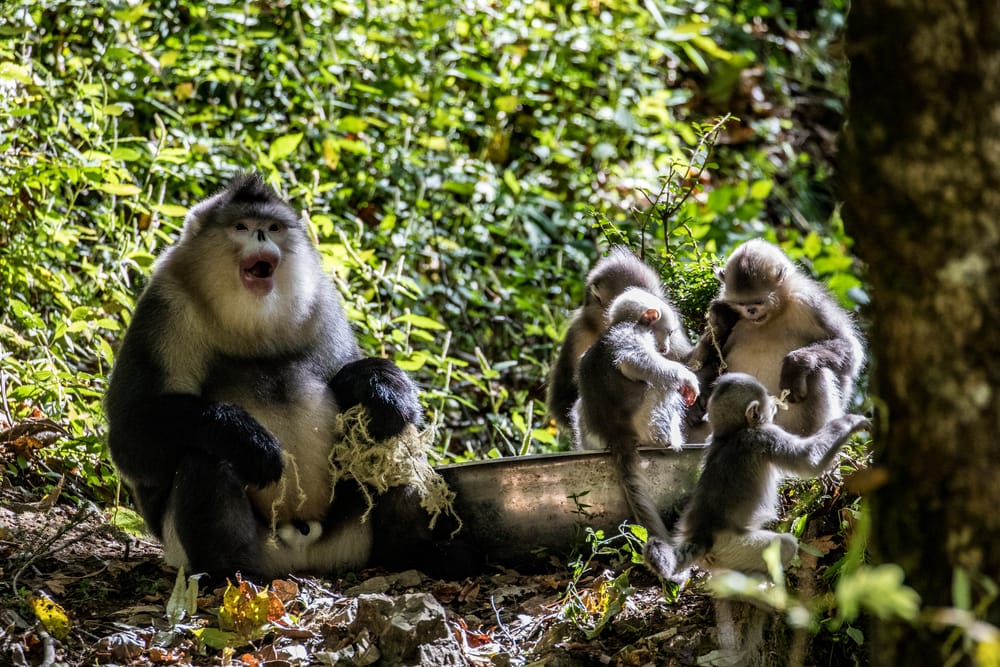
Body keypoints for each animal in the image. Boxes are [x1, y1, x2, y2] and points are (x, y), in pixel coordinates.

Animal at [105, 173, 472, 583]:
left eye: (273, 227)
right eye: (242, 227)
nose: (262, 236)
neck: (250, 322)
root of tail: (301, 550)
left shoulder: (322, 300)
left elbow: (348, 378)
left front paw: (382, 390)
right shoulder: (163, 306)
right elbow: (130, 439)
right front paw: (243, 436)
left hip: (353, 536)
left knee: (389, 435)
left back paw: (412, 553)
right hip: (211, 547)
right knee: (205, 456)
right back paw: (226, 572)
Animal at [572, 287, 700, 550]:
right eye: (668, 332)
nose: (666, 347)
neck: (622, 324)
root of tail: (616, 434)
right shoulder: (633, 335)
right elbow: (634, 363)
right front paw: (689, 380)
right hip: (644, 419)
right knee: (660, 385)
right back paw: (666, 441)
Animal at [644, 373, 870, 581]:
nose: (773, 402)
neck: (731, 434)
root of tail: (702, 537)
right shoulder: (764, 435)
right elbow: (810, 461)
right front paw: (851, 422)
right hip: (734, 549)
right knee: (786, 545)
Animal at [687, 239, 864, 437]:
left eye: (759, 302)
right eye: (742, 303)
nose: (751, 311)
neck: (771, 317)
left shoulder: (807, 300)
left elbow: (851, 351)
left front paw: (795, 363)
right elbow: (708, 358)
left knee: (817, 371)